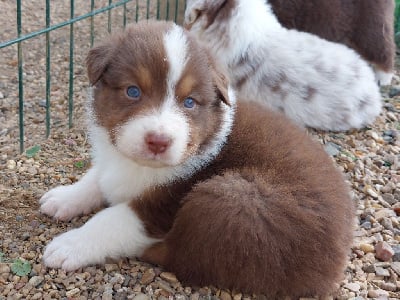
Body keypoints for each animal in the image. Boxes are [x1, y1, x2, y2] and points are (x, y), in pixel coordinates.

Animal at [39, 20, 354, 298]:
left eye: (189, 102)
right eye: (133, 91)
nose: (159, 141)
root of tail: (332, 269)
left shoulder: (161, 207)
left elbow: (110, 220)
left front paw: (69, 245)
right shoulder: (113, 159)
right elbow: (96, 177)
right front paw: (63, 198)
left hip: (231, 198)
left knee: (188, 257)